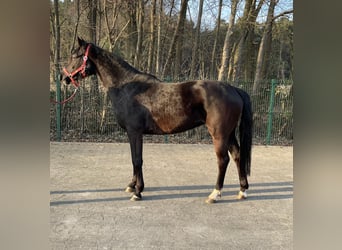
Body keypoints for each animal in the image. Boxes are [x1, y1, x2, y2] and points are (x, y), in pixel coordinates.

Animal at [62, 37, 252, 203]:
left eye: (75, 56)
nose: (64, 78)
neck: (129, 88)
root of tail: (233, 89)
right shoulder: (133, 133)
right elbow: (134, 158)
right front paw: (132, 186)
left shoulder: (135, 132)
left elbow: (137, 159)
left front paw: (138, 192)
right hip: (229, 134)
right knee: (237, 156)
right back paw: (242, 190)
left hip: (219, 134)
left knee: (223, 160)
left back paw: (215, 194)